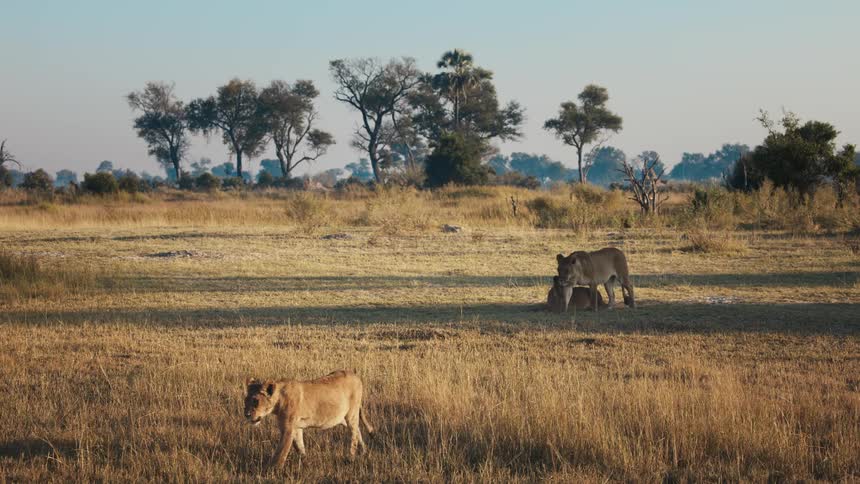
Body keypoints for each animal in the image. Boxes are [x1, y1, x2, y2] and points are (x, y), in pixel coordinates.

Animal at [244, 370, 373, 468]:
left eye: (255, 401)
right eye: (245, 400)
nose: (246, 414)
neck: (278, 400)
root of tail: (356, 375)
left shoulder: (288, 429)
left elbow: (280, 452)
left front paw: (272, 471)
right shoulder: (296, 428)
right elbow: (300, 447)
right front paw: (306, 462)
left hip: (351, 414)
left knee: (354, 434)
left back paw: (351, 457)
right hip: (343, 418)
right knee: (358, 430)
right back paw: (364, 451)